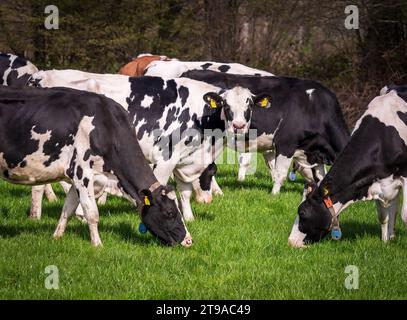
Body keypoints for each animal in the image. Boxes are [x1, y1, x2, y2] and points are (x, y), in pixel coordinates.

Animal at [0, 85, 193, 248]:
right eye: (170, 212)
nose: (189, 240)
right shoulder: (82, 172)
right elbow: (91, 212)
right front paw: (98, 245)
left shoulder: (77, 177)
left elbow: (68, 209)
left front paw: (56, 236)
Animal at [29, 69, 264, 220]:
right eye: (226, 105)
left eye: (249, 105)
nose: (239, 125)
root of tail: (39, 76)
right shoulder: (166, 156)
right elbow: (157, 187)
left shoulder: (184, 158)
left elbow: (185, 192)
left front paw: (189, 218)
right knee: (39, 186)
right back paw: (35, 216)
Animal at [288, 86, 407, 249]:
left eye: (302, 212)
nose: (291, 242)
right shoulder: (373, 180)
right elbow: (383, 216)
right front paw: (385, 243)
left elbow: (405, 215)